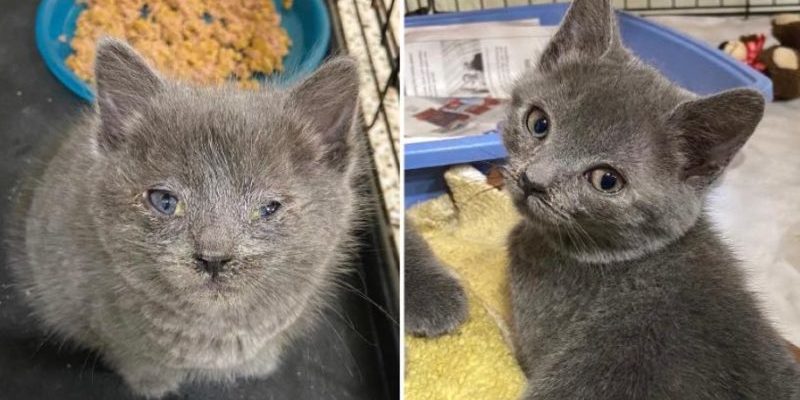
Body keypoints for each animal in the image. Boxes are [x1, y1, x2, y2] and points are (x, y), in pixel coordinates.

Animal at [6, 39, 360, 398]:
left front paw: (257, 365)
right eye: (165, 202)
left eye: (268, 208)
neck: (215, 329)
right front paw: (152, 386)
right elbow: (139, 361)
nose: (214, 258)